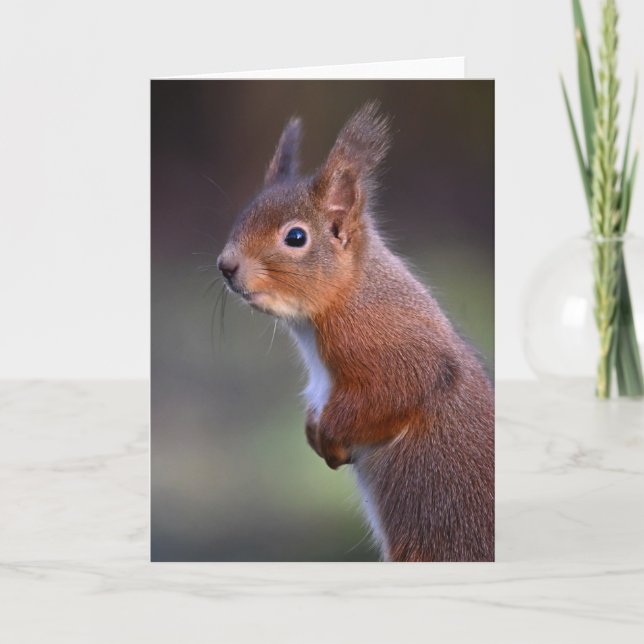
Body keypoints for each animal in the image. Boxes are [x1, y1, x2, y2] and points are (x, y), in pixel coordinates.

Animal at [217, 102, 494, 562]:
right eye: (244, 214)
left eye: (296, 237)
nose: (226, 266)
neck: (344, 299)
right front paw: (314, 432)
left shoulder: (387, 347)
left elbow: (395, 393)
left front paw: (330, 435)